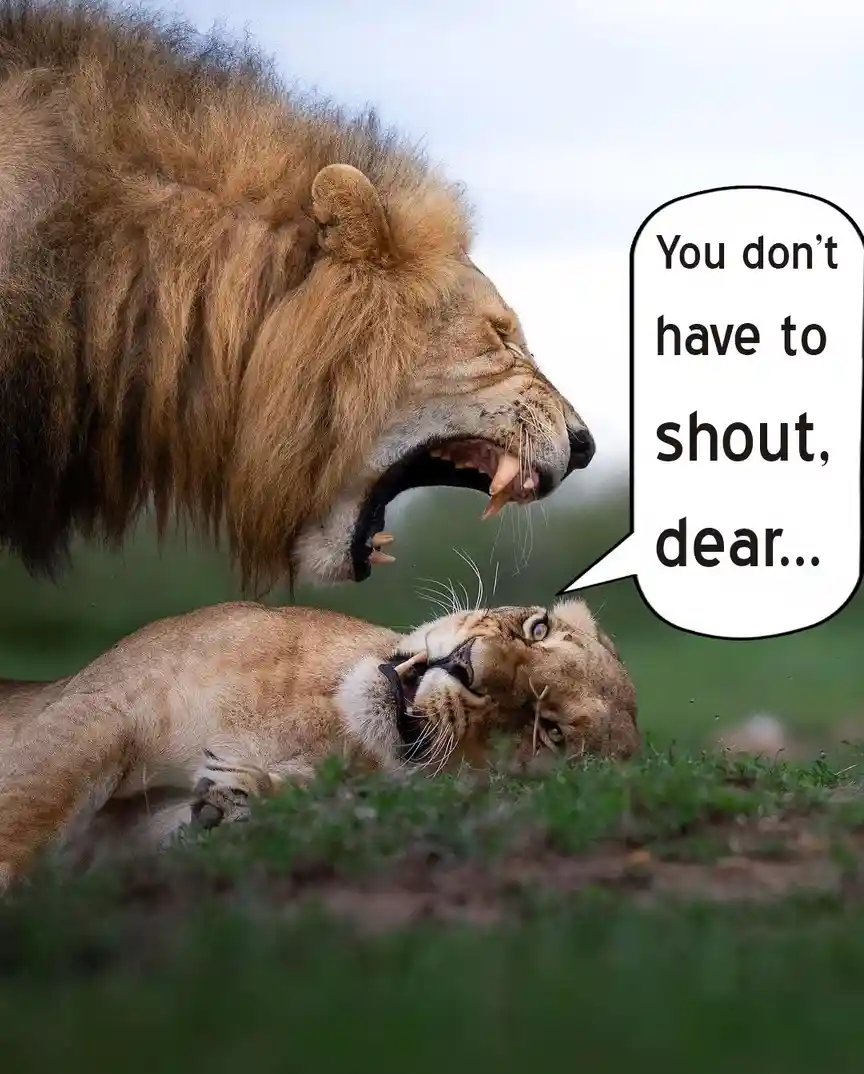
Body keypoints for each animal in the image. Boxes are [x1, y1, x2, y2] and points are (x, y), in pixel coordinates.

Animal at [0, 597, 639, 888]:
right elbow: (35, 803)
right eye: (537, 628)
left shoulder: (124, 840)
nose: (464, 665)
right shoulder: (105, 708)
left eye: (546, 730)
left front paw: (240, 797)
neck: (327, 719)